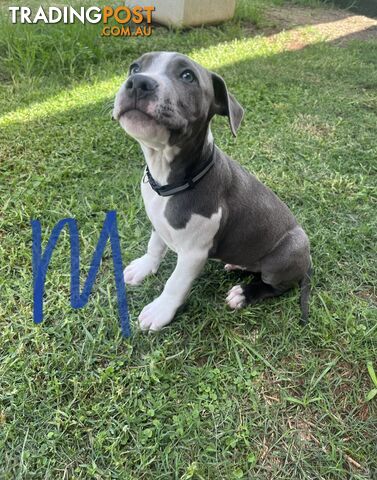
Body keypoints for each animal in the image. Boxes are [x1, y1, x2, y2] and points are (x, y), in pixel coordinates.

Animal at [112, 50, 312, 332]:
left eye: (187, 76)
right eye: (135, 68)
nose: (139, 83)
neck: (167, 178)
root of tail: (308, 263)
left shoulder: (193, 253)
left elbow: (175, 283)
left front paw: (160, 310)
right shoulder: (158, 222)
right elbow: (155, 245)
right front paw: (143, 267)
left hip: (286, 254)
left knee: (276, 285)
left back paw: (243, 293)